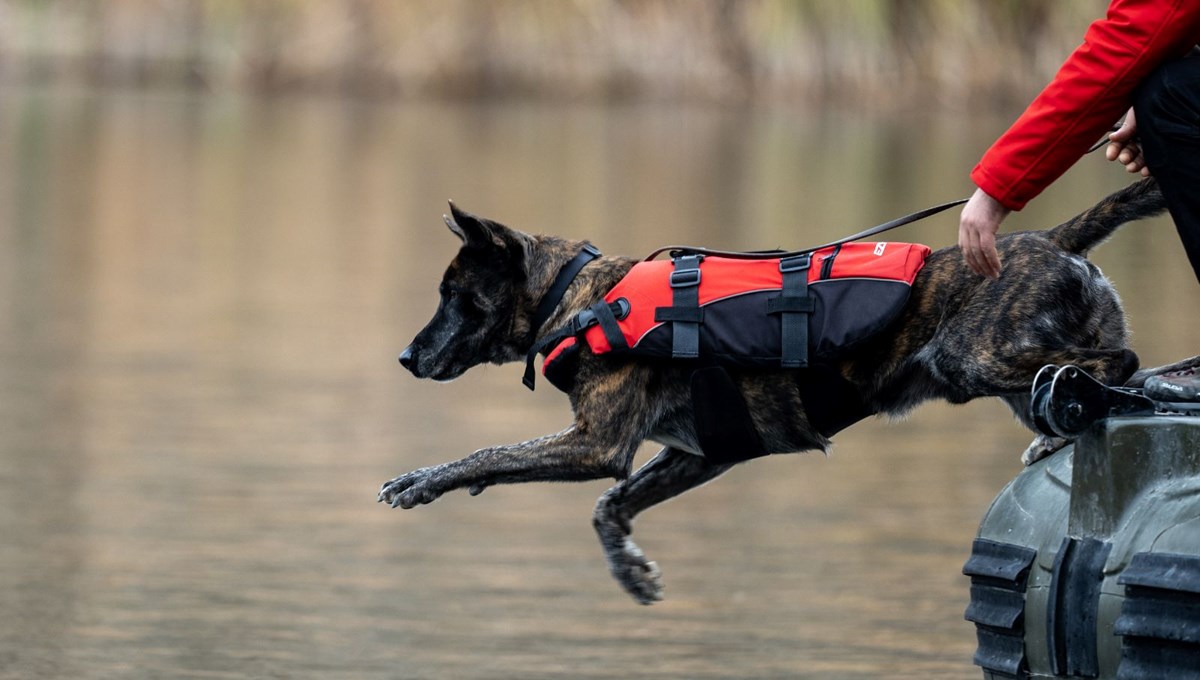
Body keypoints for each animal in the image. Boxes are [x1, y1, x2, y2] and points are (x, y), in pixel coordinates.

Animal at [379, 177, 1166, 606]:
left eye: (455, 297)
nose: (407, 356)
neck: (575, 299)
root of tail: (1052, 240)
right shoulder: (699, 452)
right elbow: (608, 508)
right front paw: (630, 572)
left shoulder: (597, 444)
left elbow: (486, 456)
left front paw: (422, 481)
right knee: (1136, 371)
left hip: (972, 356)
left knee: (1119, 361)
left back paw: (1072, 406)